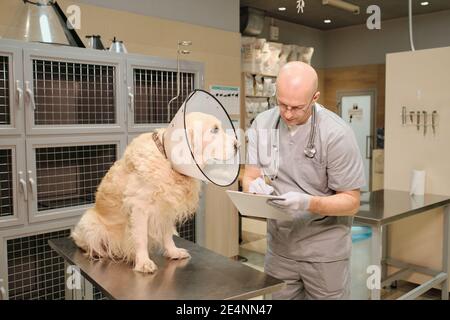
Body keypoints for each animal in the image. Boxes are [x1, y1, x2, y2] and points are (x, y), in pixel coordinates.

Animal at [71, 112, 239, 272]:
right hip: (90, 223)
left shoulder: (167, 208)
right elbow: (141, 238)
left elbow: (167, 234)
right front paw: (143, 262)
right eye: (214, 129)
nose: (238, 145)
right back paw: (99, 252)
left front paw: (172, 251)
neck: (167, 161)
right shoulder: (139, 207)